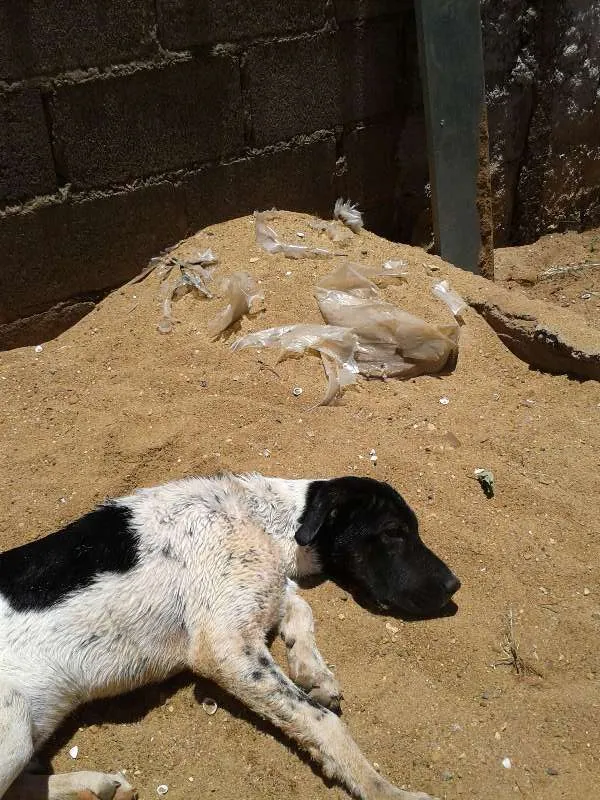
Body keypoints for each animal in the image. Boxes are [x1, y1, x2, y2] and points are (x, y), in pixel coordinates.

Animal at [0, 476, 460, 800]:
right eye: (394, 532)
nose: (455, 586)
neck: (261, 519)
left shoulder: (264, 594)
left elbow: (299, 606)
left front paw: (314, 672)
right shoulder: (227, 648)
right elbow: (324, 722)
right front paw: (387, 791)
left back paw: (93, 786)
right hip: (15, 727)